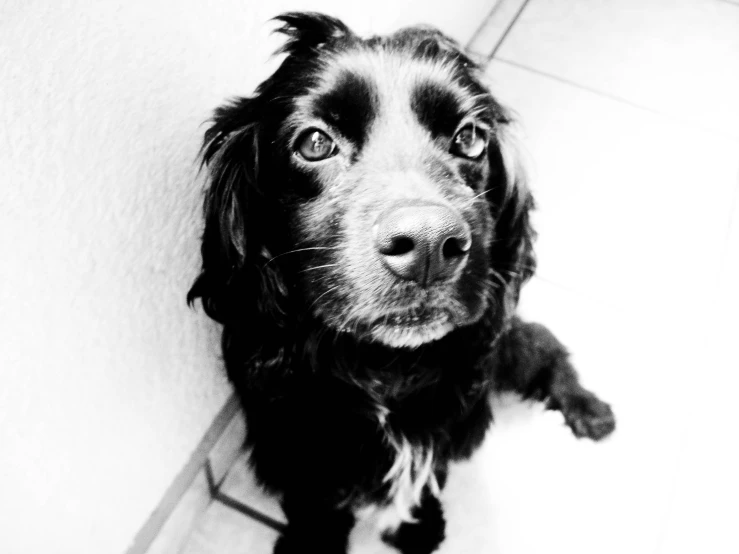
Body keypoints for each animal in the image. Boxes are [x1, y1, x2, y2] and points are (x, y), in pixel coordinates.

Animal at [188, 11, 616, 548]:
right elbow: (314, 498)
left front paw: (418, 524)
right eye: (314, 143)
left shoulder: (445, 421)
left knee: (546, 347)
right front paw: (313, 539)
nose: (431, 246)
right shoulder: (293, 440)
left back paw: (589, 409)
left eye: (470, 138)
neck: (385, 367)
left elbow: (426, 476)